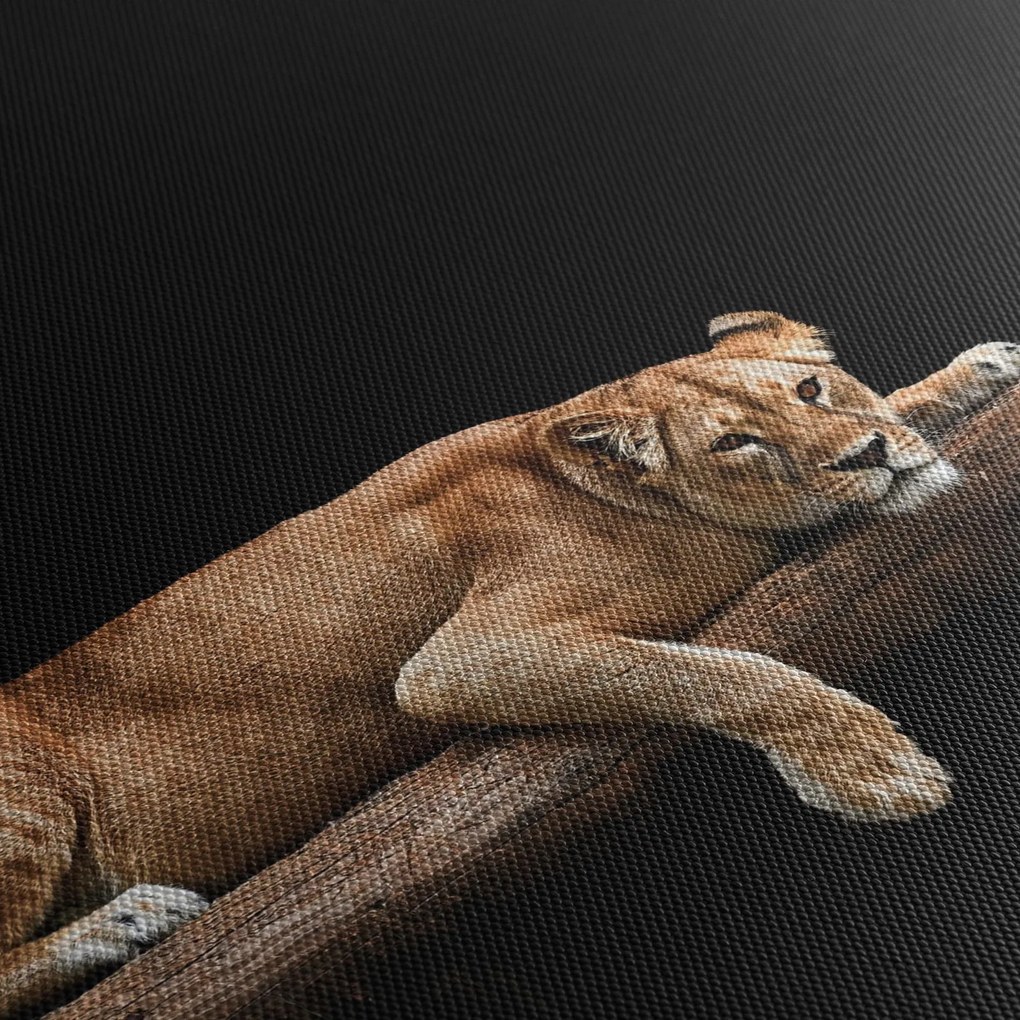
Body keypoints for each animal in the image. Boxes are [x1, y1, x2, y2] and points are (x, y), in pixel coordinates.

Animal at [1, 311, 1017, 1014]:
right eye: (737, 441)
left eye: (811, 390)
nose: (869, 455)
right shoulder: (462, 655)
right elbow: (717, 674)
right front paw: (874, 775)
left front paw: (978, 372)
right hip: (28, 791)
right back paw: (132, 919)